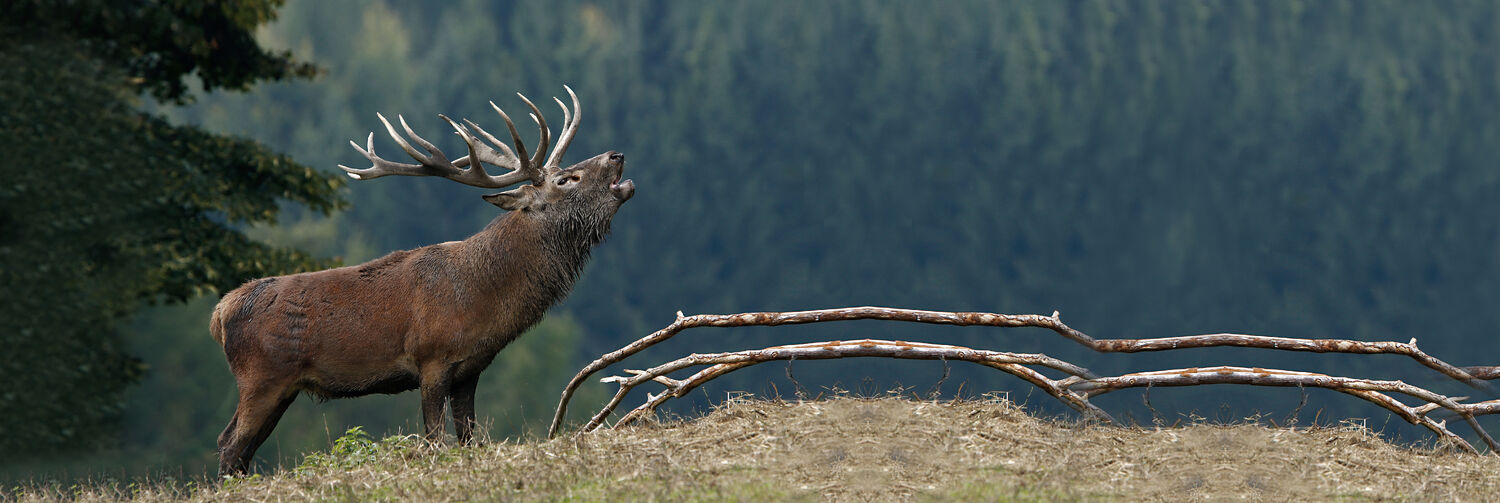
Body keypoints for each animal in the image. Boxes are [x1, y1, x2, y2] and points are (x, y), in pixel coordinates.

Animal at [209, 87, 634, 475]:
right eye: (566, 179)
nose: (617, 155)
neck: (485, 299)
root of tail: (220, 313)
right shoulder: (431, 359)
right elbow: (433, 439)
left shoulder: (471, 368)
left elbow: (467, 438)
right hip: (261, 377)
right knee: (230, 444)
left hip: (282, 387)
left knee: (239, 447)